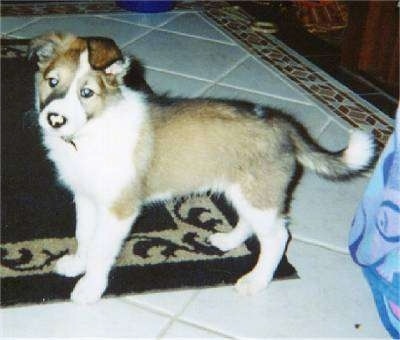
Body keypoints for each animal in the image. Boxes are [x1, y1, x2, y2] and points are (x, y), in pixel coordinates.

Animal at [28, 31, 376, 302]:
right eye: (52, 81)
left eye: (87, 92)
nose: (54, 119)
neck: (91, 131)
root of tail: (284, 125)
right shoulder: (86, 197)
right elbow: (85, 235)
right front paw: (77, 264)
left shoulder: (119, 209)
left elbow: (101, 249)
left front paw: (89, 288)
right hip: (246, 192)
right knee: (254, 224)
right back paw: (228, 242)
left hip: (257, 194)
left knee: (278, 236)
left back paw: (255, 281)